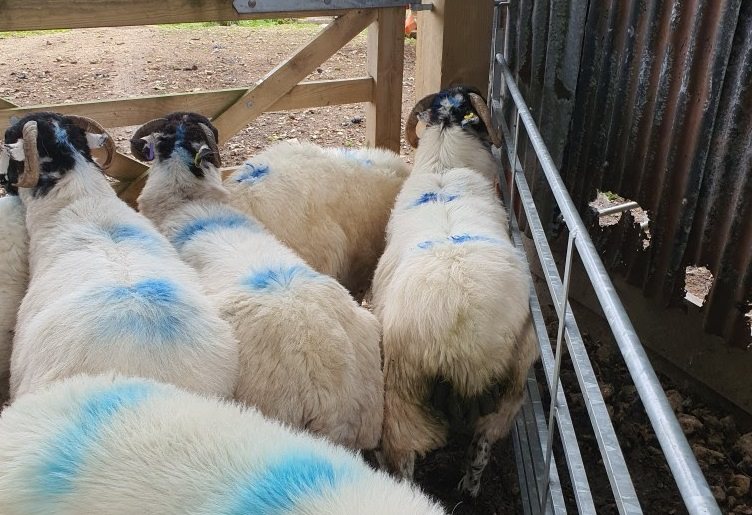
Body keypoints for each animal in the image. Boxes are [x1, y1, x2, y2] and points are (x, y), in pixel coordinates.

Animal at [372, 86, 536, 498]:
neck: (444, 168)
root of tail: (466, 342)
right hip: (510, 385)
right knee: (481, 445)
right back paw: (468, 487)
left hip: (404, 390)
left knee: (407, 456)